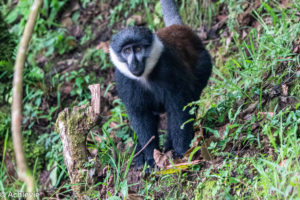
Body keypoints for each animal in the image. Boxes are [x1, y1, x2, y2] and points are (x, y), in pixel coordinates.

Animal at [109, 0, 212, 169]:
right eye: (126, 51)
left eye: (138, 48)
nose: (134, 63)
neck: (146, 76)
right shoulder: (124, 81)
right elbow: (141, 117)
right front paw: (150, 158)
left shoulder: (168, 68)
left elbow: (179, 109)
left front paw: (181, 152)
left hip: (204, 65)